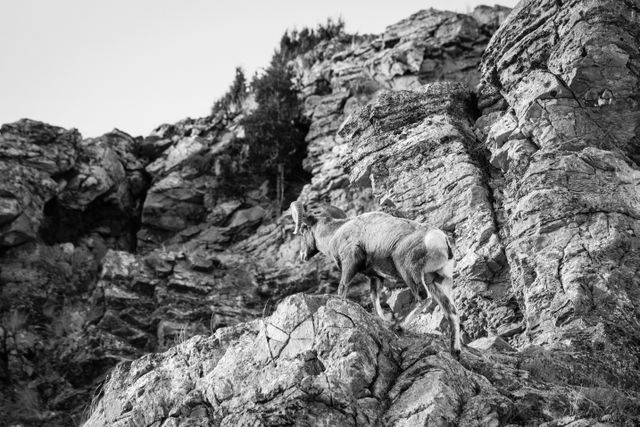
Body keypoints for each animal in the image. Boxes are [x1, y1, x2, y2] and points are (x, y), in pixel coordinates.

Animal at [290, 202, 460, 356]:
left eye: (303, 230)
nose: (302, 256)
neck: (337, 233)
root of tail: (442, 240)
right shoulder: (375, 277)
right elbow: (375, 299)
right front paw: (382, 320)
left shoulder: (350, 264)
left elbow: (342, 288)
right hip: (437, 281)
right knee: (451, 311)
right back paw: (455, 351)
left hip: (409, 272)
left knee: (424, 298)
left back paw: (398, 327)